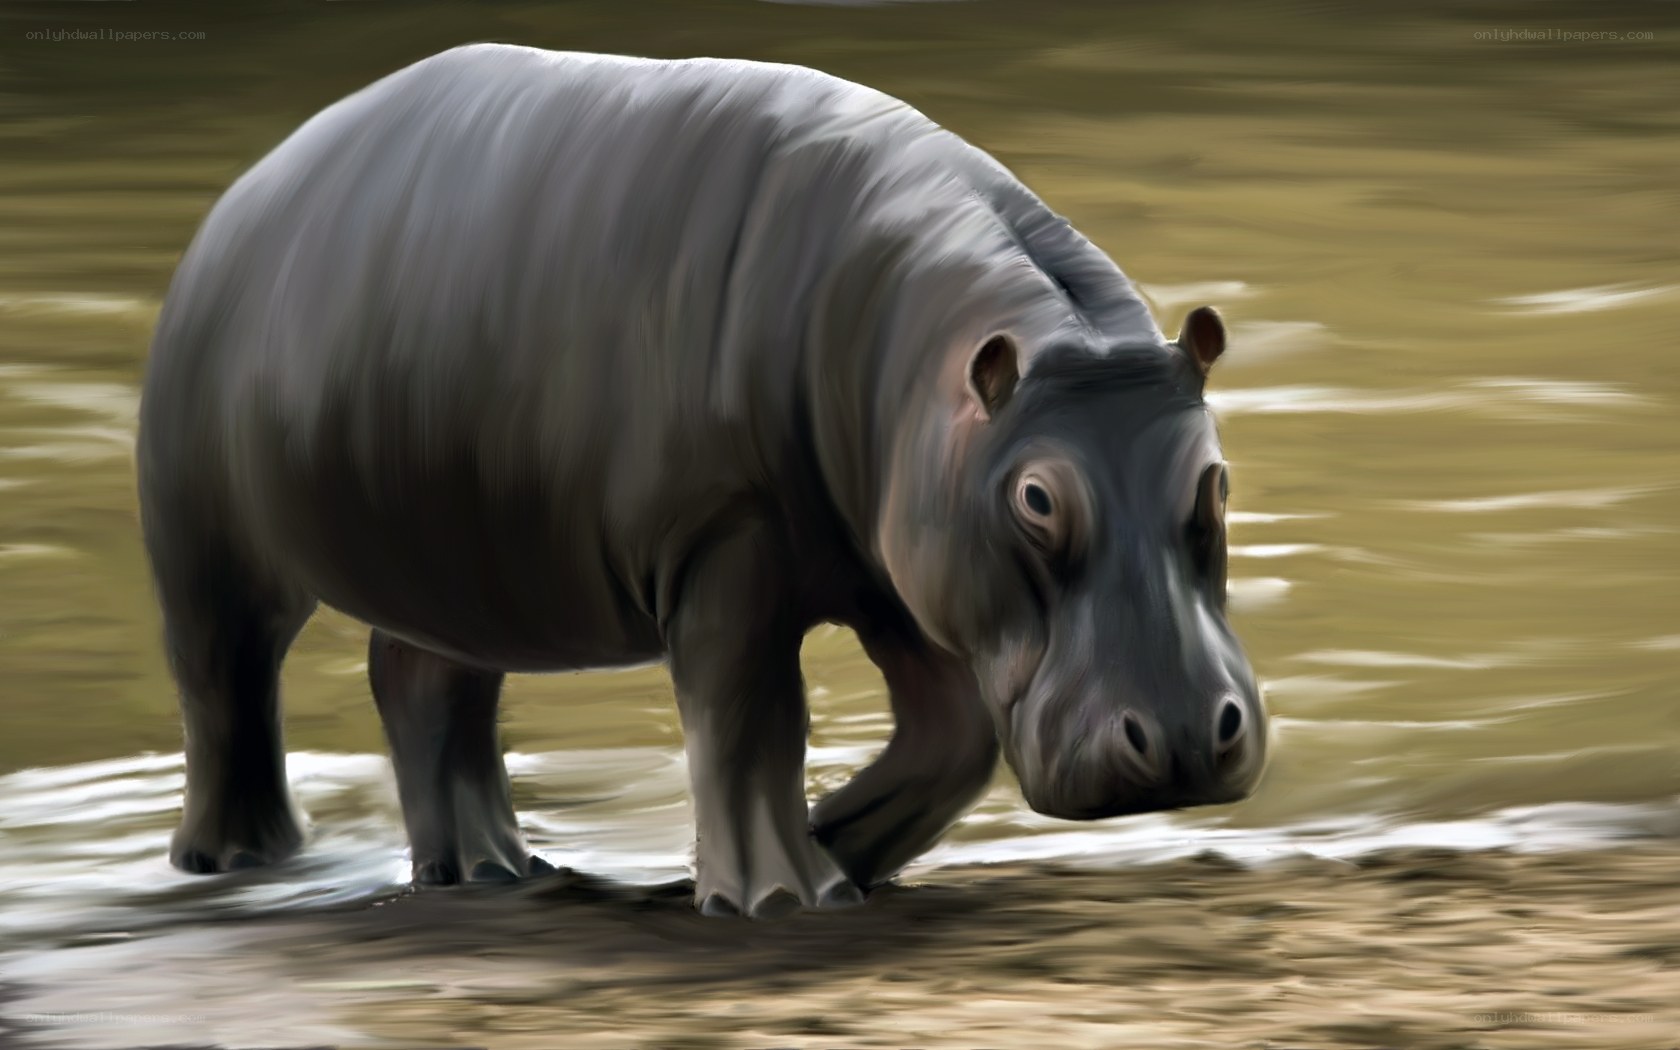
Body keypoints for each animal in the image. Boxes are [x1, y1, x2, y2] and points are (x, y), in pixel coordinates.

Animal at [138, 44, 1266, 918]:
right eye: (1036, 498)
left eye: (1214, 476)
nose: (1178, 734)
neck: (924, 353)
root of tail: (244, 192)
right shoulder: (726, 547)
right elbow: (748, 719)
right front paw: (781, 895)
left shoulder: (896, 567)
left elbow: (948, 740)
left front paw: (833, 843)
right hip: (208, 542)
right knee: (224, 686)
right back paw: (244, 862)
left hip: (455, 563)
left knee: (422, 688)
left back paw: (494, 870)